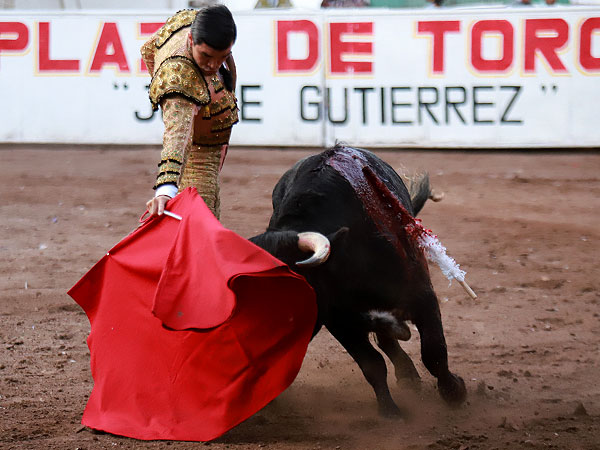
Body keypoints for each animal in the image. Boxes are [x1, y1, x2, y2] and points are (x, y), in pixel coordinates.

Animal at [251, 146, 466, 416]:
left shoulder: (421, 295)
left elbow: (434, 352)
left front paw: (455, 392)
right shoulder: (337, 318)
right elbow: (372, 364)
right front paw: (390, 411)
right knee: (385, 340)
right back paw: (407, 375)